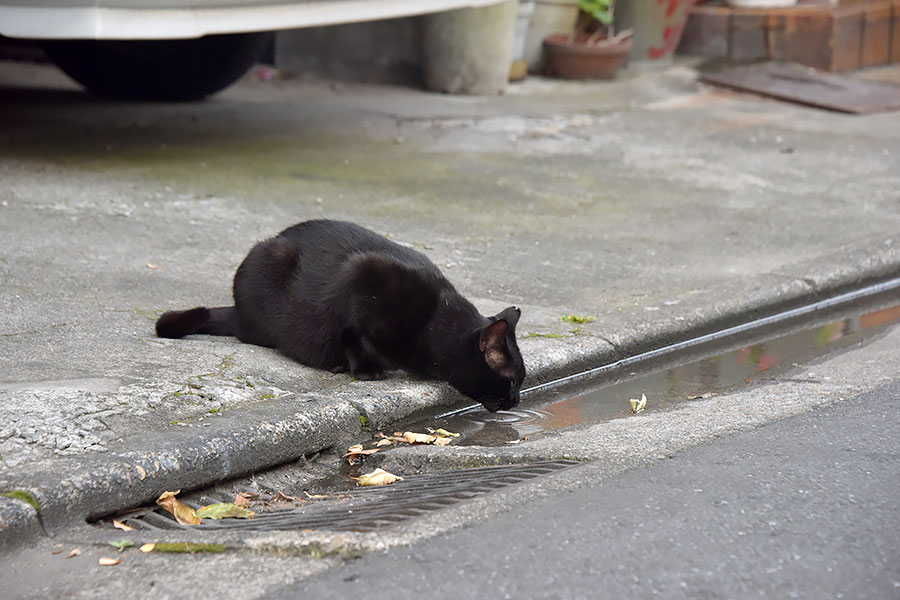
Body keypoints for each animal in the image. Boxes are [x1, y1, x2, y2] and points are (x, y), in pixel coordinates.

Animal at [154, 220, 524, 412]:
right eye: (512, 380)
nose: (517, 401)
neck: (434, 321)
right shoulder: (360, 277)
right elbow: (353, 336)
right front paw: (365, 370)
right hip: (268, 258)